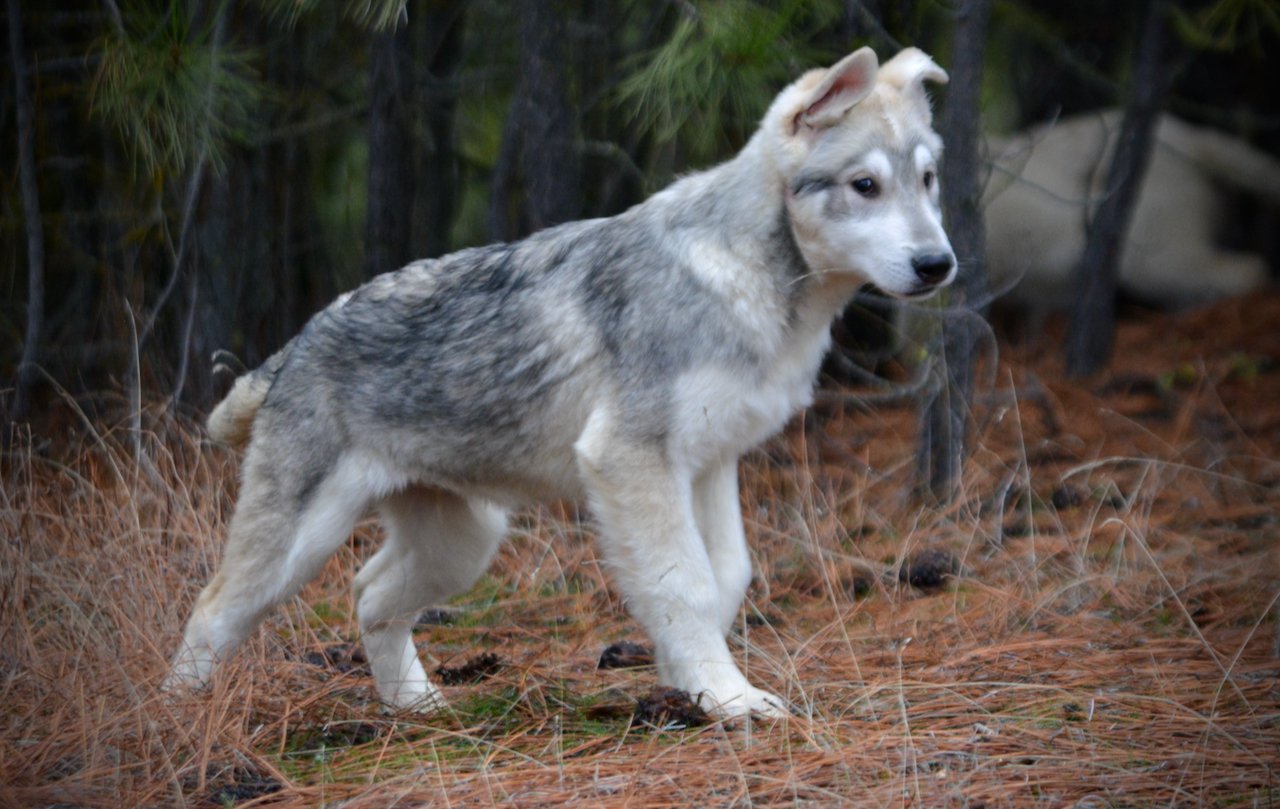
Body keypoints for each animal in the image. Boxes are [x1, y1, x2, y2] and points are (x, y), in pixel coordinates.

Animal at [167, 47, 952, 716]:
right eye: (865, 186)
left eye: (927, 180)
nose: (939, 263)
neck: (745, 277)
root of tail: (298, 341)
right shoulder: (630, 460)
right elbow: (687, 583)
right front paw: (731, 701)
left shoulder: (709, 466)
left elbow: (726, 576)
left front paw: (687, 685)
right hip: (298, 550)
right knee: (211, 610)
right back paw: (178, 728)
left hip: (465, 542)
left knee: (368, 595)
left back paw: (416, 706)